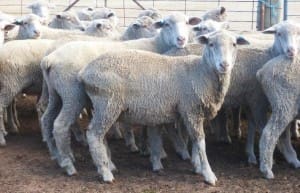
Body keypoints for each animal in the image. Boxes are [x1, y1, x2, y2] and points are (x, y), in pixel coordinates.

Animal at [38, 11, 200, 175]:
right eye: (166, 24)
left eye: (187, 23)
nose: (181, 39)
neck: (157, 45)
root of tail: (49, 59)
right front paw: (159, 151)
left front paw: (146, 148)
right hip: (73, 95)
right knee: (61, 125)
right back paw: (69, 164)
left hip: (56, 94)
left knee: (47, 119)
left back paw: (56, 154)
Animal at [77, 29, 248, 184]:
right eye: (211, 44)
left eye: (234, 44)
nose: (224, 65)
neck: (201, 72)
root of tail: (84, 72)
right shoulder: (191, 109)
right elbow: (200, 143)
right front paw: (208, 174)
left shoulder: (194, 112)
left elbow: (195, 141)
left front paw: (197, 167)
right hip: (108, 104)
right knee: (93, 134)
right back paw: (105, 173)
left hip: (101, 107)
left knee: (101, 136)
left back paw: (108, 165)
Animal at [255, 24, 300, 179]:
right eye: (279, 34)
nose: (291, 51)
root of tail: (262, 71)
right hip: (284, 103)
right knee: (269, 134)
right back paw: (266, 170)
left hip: (285, 106)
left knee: (282, 135)